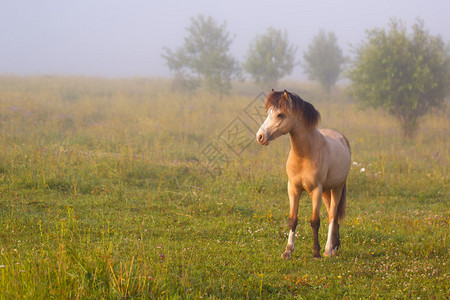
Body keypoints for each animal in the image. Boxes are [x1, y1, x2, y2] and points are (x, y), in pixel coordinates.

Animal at [256, 88, 352, 258]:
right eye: (268, 112)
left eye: (280, 114)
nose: (260, 136)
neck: (304, 155)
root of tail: (343, 139)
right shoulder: (293, 189)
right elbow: (293, 219)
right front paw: (288, 251)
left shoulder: (316, 190)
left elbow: (315, 221)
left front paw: (316, 253)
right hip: (327, 191)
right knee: (331, 215)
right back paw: (335, 246)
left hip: (337, 188)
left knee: (332, 216)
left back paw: (328, 249)